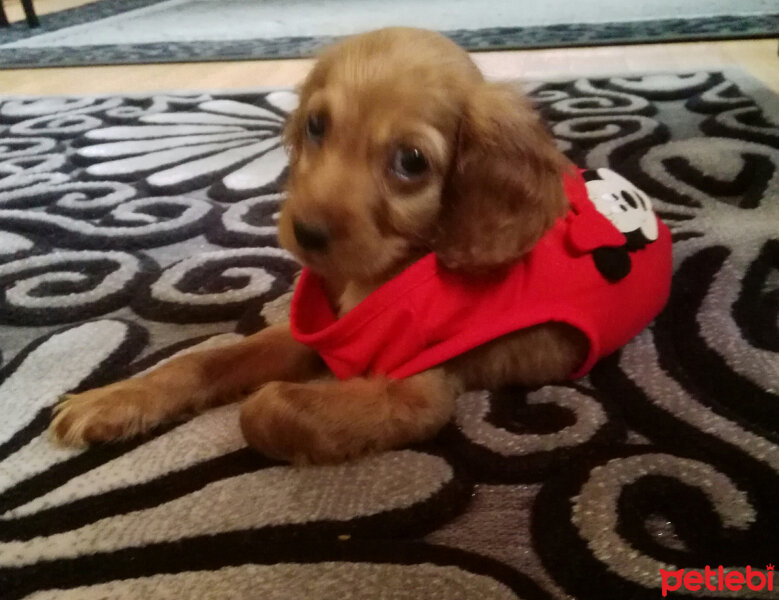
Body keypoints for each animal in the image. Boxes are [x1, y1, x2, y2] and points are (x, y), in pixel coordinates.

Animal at [50, 27, 672, 464]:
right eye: (316, 125)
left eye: (412, 162)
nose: (306, 233)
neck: (371, 278)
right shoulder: (313, 334)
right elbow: (201, 360)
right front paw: (111, 400)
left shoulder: (420, 394)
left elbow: (267, 406)